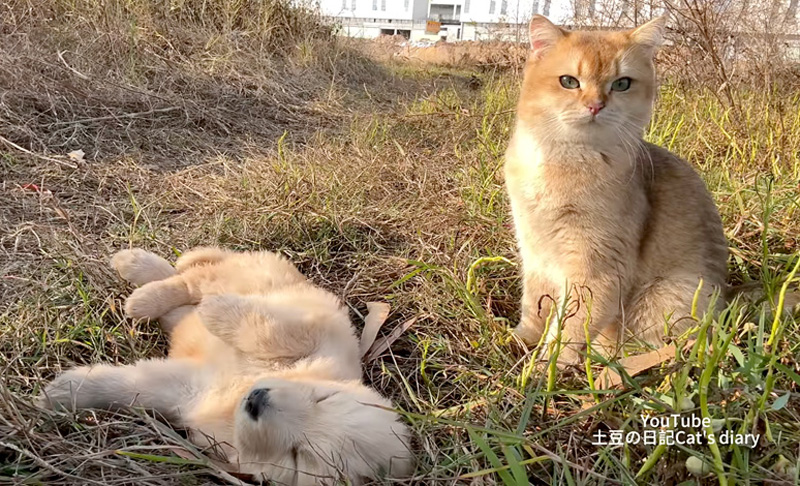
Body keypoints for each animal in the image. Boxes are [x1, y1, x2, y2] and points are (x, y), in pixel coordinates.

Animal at [41, 249, 412, 484]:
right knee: (192, 278)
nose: (258, 399)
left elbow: (129, 385)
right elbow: (267, 330)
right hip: (249, 274)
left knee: (184, 289)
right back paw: (139, 278)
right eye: (322, 398)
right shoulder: (319, 334)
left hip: (187, 315)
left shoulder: (187, 390)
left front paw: (62, 392)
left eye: (300, 455)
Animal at [510, 16, 728, 364]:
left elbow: (570, 327)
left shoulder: (598, 270)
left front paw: (544, 366)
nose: (595, 105)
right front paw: (520, 340)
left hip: (670, 295)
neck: (564, 158)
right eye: (569, 81)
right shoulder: (534, 255)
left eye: (622, 84)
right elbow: (534, 306)